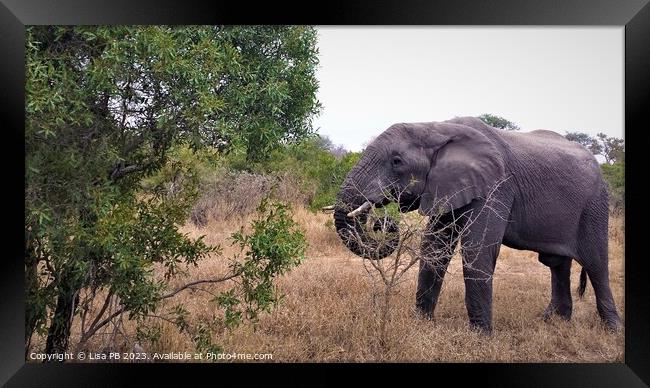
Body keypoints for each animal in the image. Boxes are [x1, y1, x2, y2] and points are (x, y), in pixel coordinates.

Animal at [332, 116, 620, 334]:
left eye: (396, 161)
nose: (381, 221)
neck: (435, 126)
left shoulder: (496, 186)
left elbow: (477, 249)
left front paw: (480, 336)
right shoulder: (447, 184)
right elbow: (435, 246)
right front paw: (421, 324)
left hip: (595, 204)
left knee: (595, 263)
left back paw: (611, 330)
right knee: (558, 265)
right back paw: (553, 321)